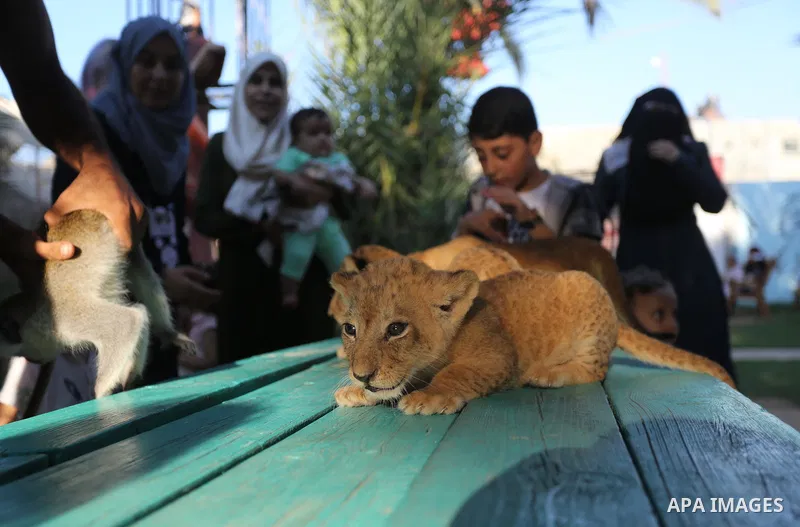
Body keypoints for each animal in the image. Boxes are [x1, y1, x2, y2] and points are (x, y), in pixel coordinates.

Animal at [330, 254, 736, 416]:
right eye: (350, 329)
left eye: (396, 329)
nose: (361, 375)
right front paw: (357, 391)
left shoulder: (498, 357)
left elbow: (456, 372)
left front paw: (431, 396)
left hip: (586, 301)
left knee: (596, 370)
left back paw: (546, 375)